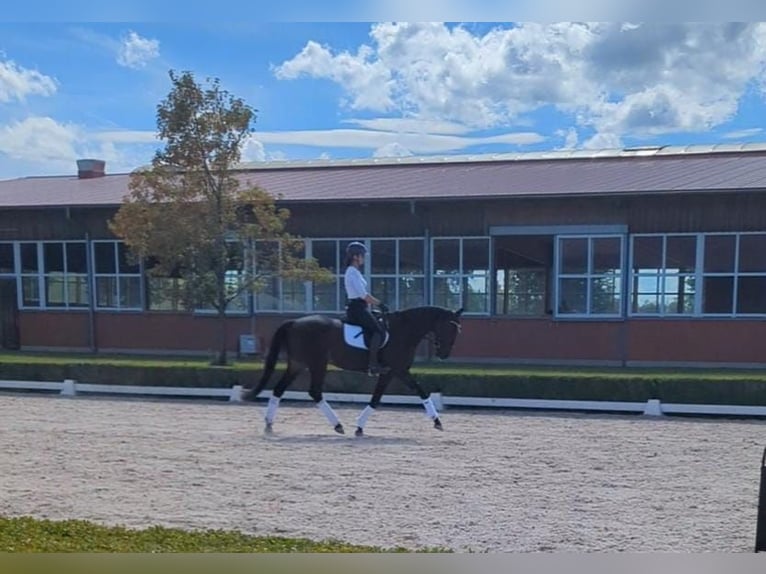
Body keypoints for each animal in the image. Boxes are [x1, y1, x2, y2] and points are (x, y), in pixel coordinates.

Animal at [243, 306, 464, 436]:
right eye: (449, 328)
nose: (444, 354)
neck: (403, 331)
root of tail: (294, 322)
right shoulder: (396, 370)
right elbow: (416, 392)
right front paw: (437, 421)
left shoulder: (394, 371)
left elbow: (383, 397)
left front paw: (359, 426)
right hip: (317, 363)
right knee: (314, 392)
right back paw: (337, 425)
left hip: (298, 364)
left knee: (279, 390)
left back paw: (269, 424)